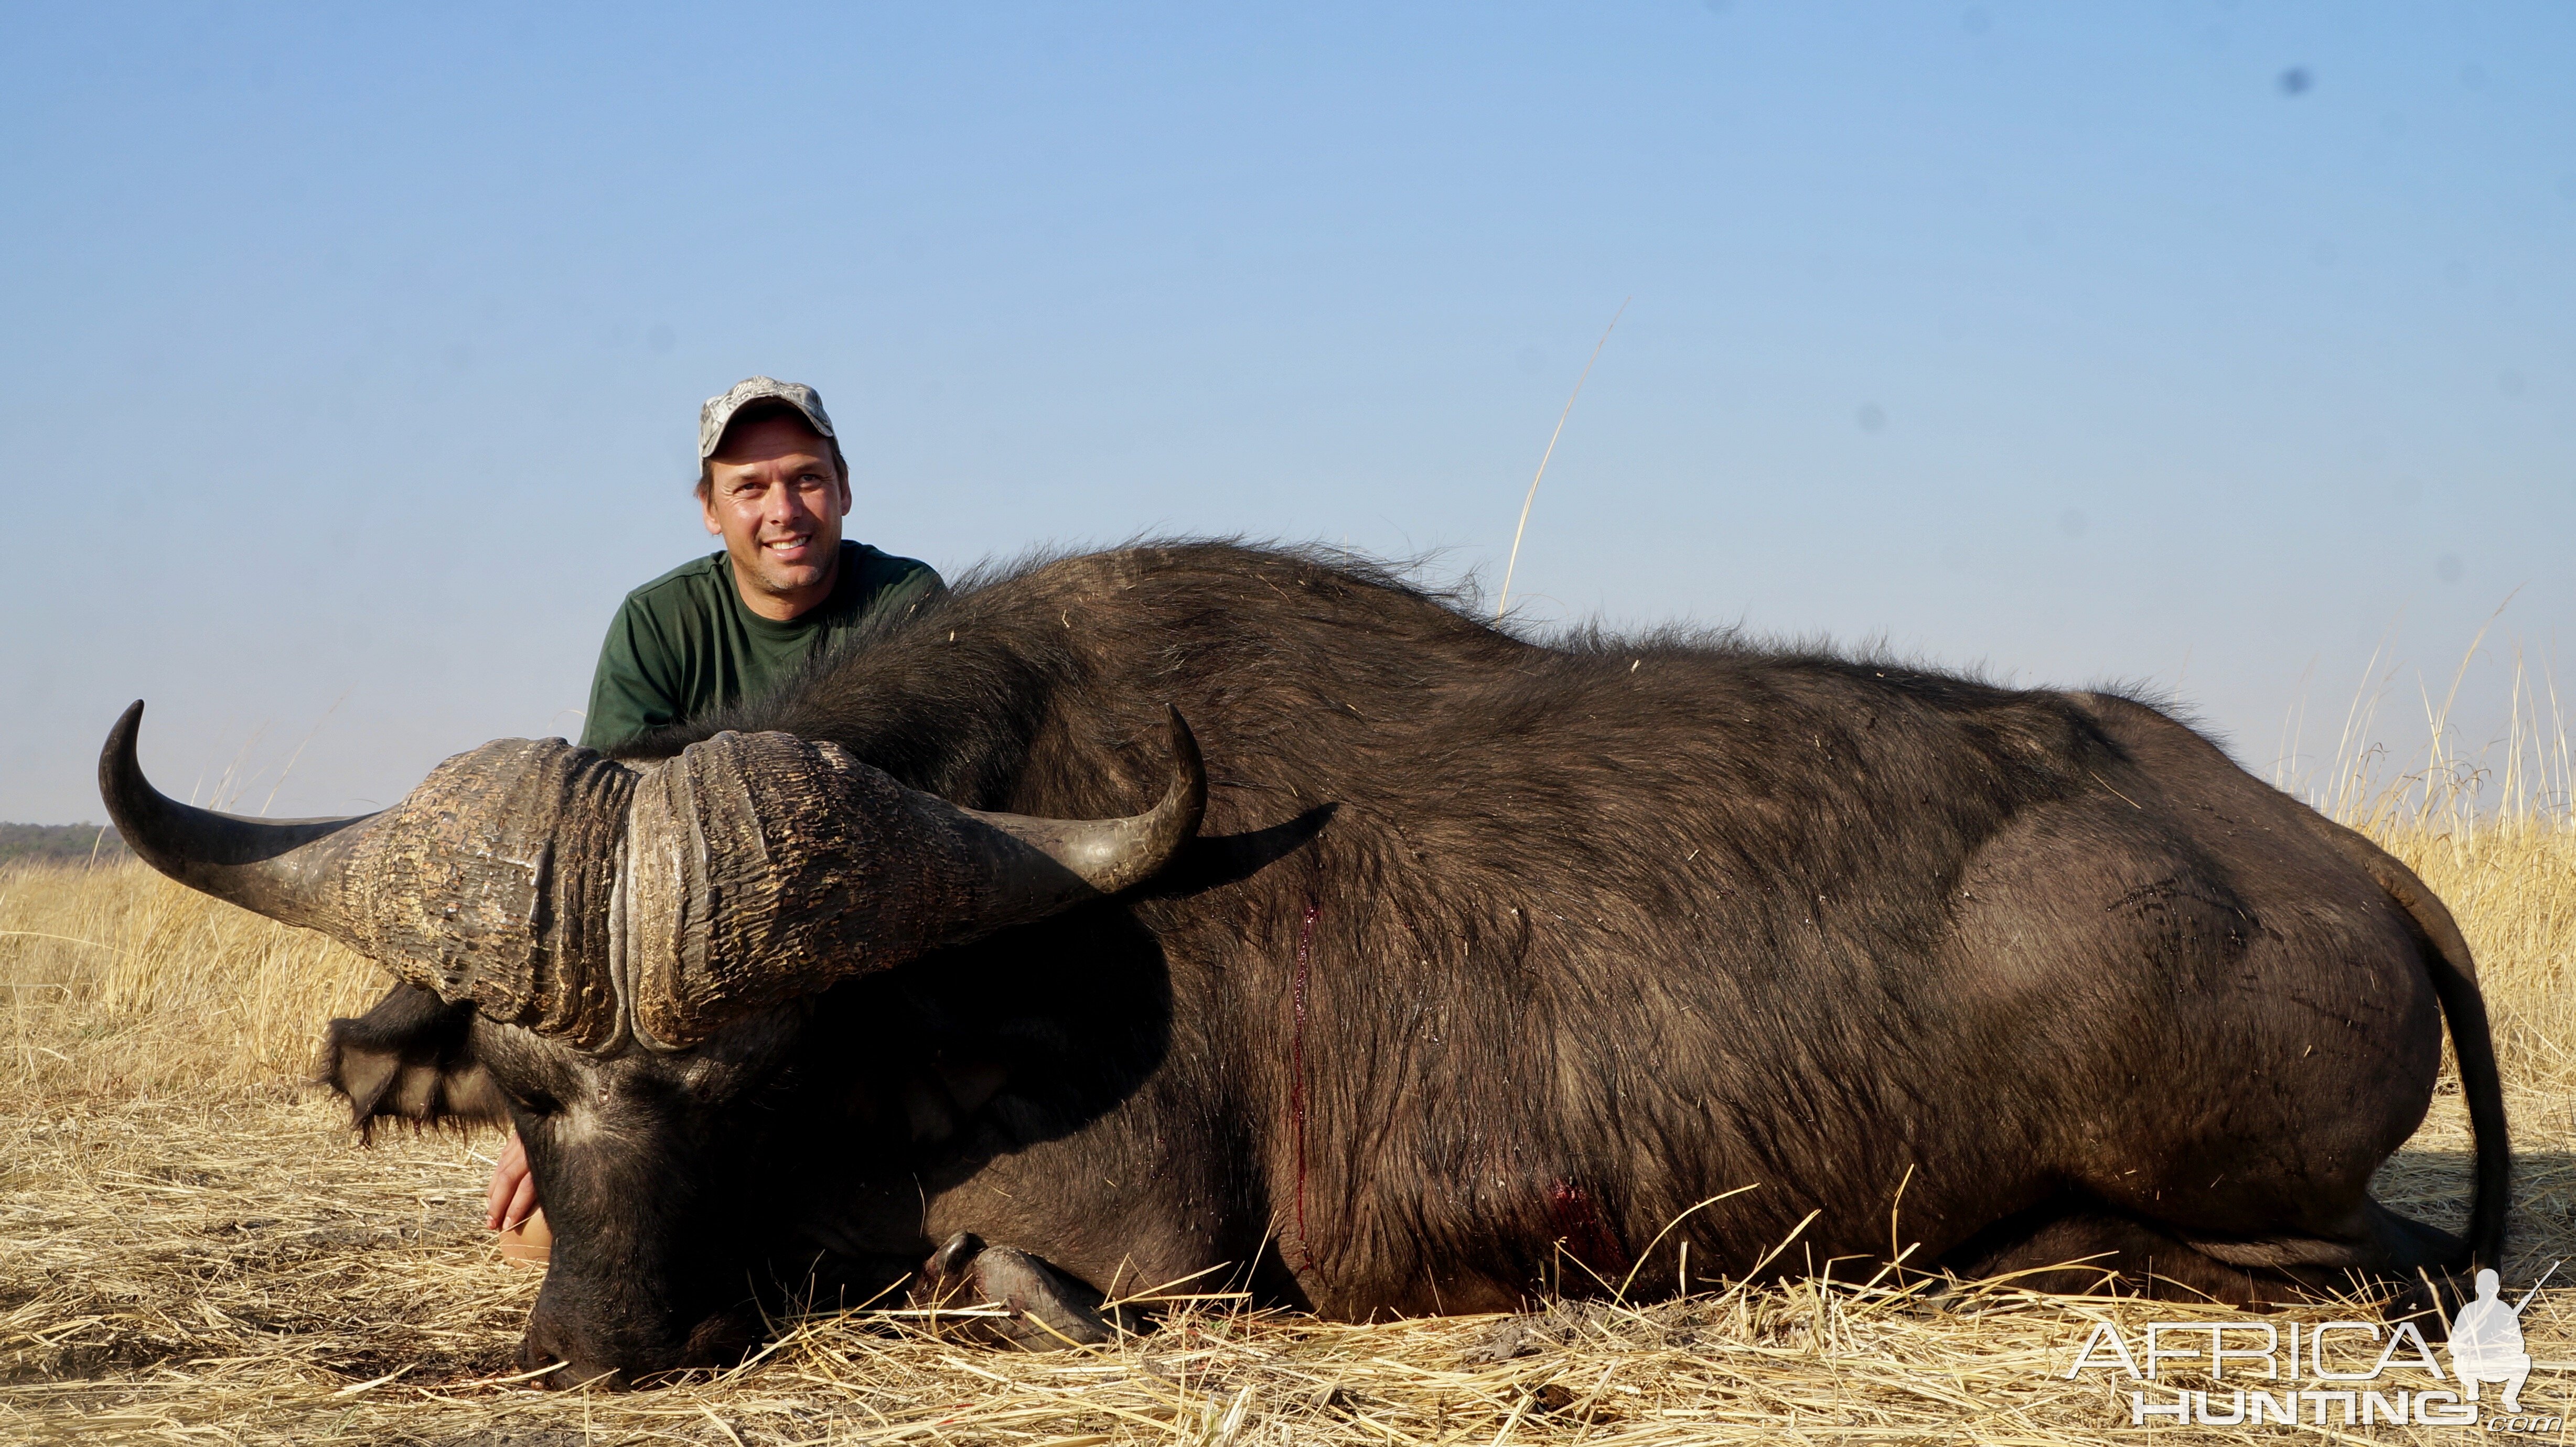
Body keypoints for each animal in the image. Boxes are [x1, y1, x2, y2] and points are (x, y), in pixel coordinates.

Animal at [100, 538, 2493, 1369]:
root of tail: (2338, 865)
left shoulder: (1144, 1251)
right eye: (522, 1086)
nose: (590, 1345)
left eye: (751, 1075)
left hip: (2250, 1194)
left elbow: (983, 1281)